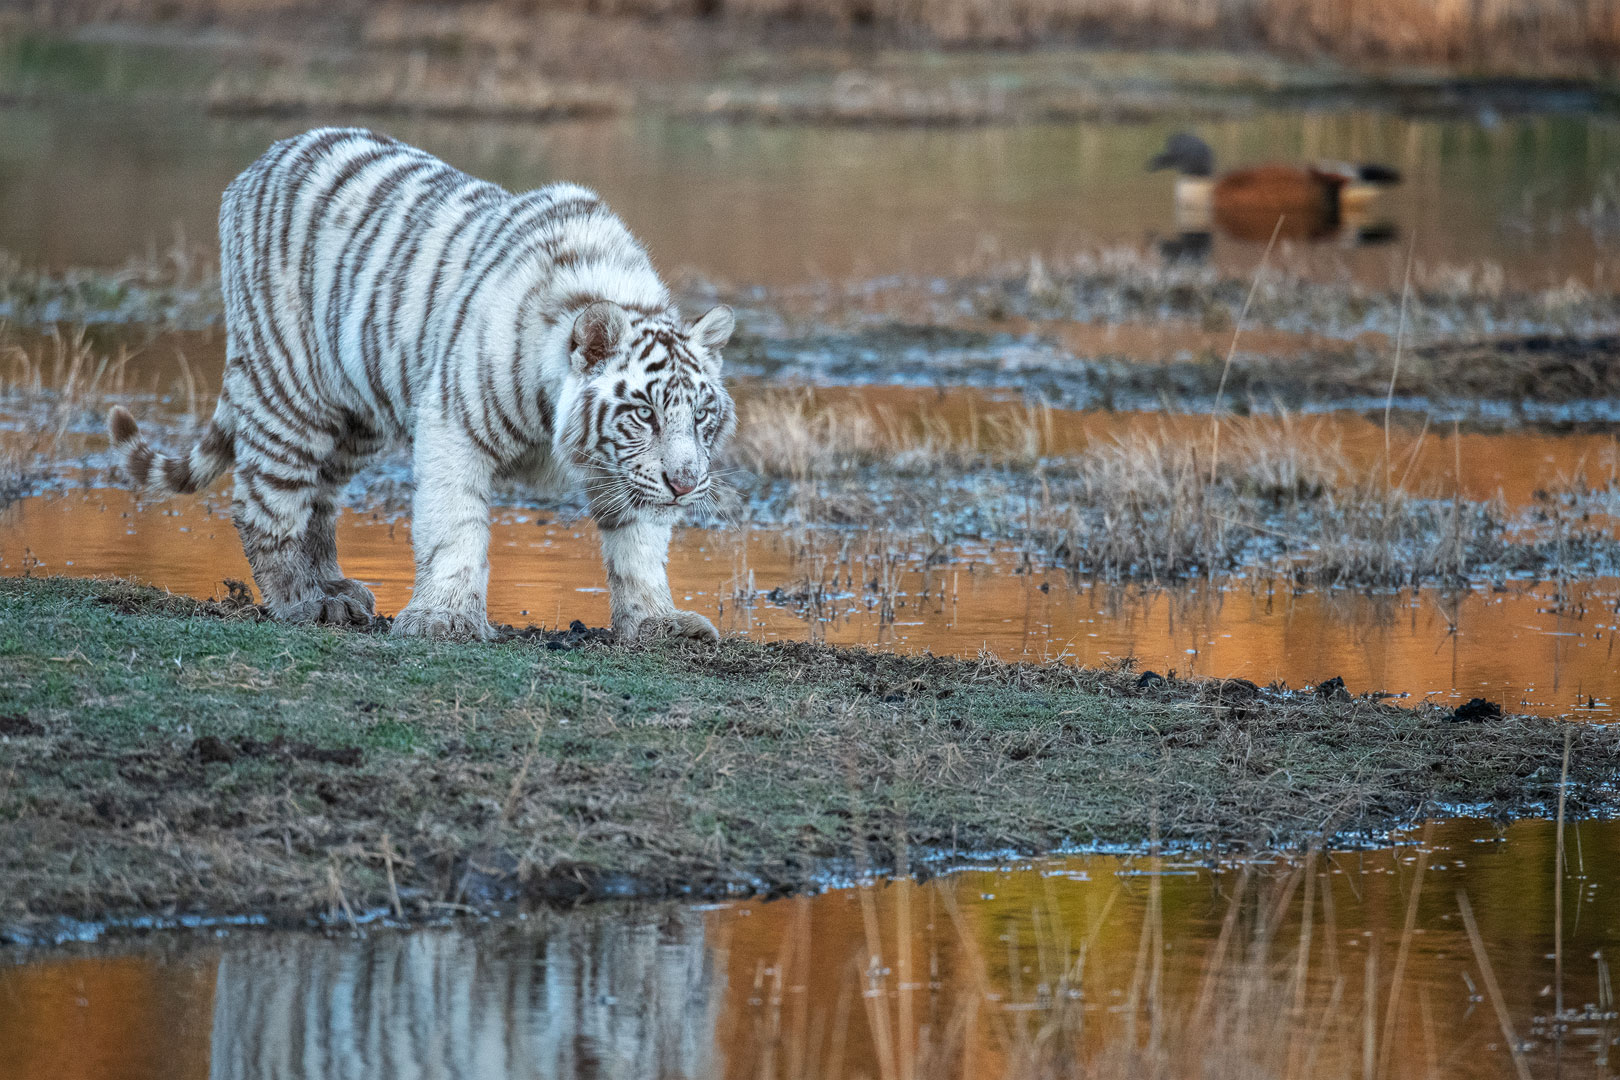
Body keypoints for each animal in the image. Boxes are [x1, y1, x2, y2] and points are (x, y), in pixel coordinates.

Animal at [104, 127, 732, 641]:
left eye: (700, 415)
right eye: (644, 413)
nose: (685, 485)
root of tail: (263, 160)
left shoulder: (628, 475)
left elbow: (640, 545)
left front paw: (658, 623)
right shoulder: (455, 425)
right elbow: (453, 525)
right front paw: (443, 620)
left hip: (355, 416)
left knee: (319, 503)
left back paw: (335, 592)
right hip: (288, 387)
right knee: (265, 502)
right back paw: (301, 602)